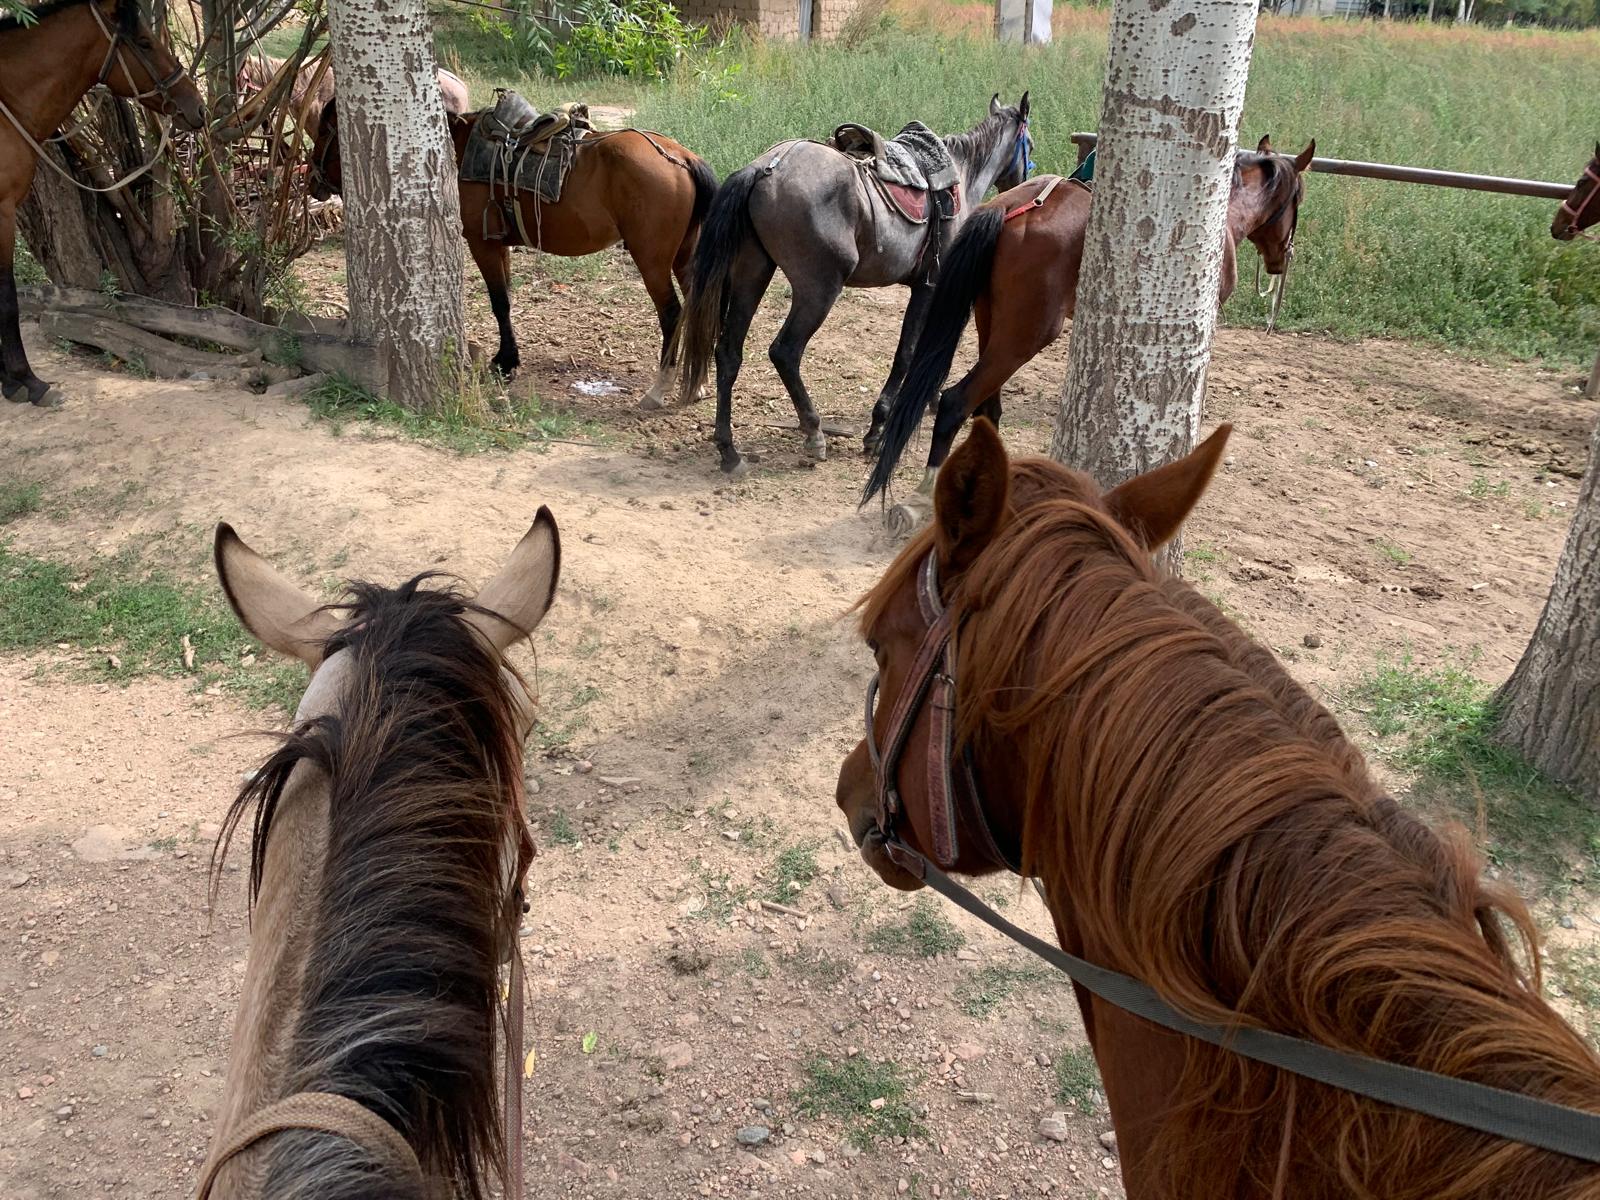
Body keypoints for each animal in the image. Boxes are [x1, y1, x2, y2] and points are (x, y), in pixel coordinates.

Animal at [311, 98, 717, 408]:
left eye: (324, 131)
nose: (313, 179)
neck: (457, 150)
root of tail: (681, 158)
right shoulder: (501, 244)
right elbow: (505, 298)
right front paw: (508, 358)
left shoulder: (483, 244)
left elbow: (499, 302)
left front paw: (505, 363)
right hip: (684, 257)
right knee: (699, 307)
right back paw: (696, 384)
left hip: (652, 261)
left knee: (672, 314)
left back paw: (660, 388)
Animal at [676, 94, 1032, 475]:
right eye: (1029, 143)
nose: (1024, 182)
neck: (962, 176)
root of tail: (766, 167)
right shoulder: (929, 287)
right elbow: (909, 354)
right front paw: (878, 429)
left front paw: (930, 400)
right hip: (818, 290)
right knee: (785, 351)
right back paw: (813, 432)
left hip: (751, 275)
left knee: (729, 352)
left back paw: (729, 451)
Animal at [862, 137, 1313, 512]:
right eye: (1299, 197)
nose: (1283, 258)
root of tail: (1008, 210)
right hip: (1026, 334)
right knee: (956, 402)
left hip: (993, 322)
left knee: (987, 407)